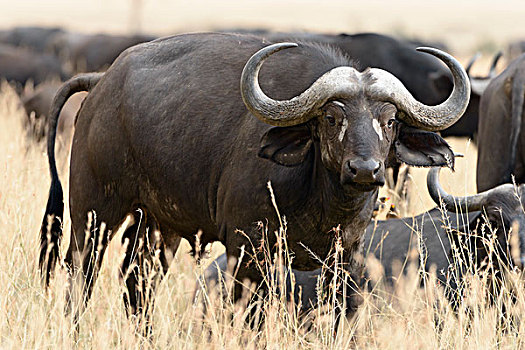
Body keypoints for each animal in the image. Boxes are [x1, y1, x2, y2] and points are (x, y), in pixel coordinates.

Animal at [37, 31, 466, 326]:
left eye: (390, 121)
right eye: (331, 118)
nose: (364, 169)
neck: (320, 201)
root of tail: (101, 83)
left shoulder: (345, 259)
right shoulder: (245, 251)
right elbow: (248, 316)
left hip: (158, 226)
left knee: (137, 281)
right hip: (93, 212)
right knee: (81, 274)